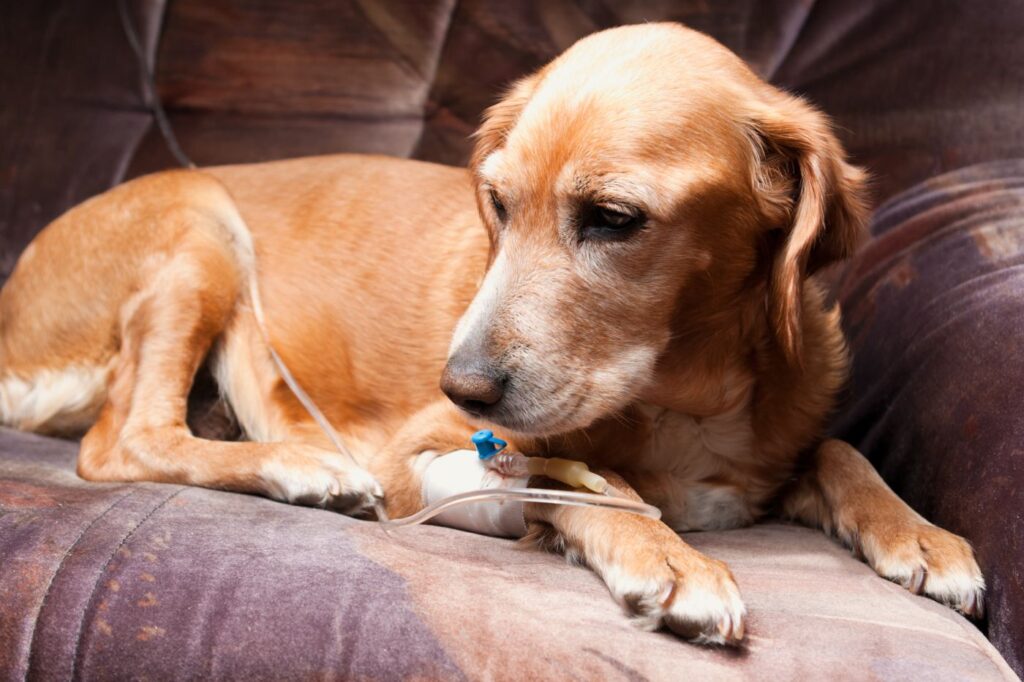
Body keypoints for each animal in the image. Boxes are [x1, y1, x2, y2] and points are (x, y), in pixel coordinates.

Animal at [0, 25, 983, 643]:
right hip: (201, 224)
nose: (460, 386)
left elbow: (840, 451)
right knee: (123, 440)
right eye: (498, 206)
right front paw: (669, 553)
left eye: (614, 219)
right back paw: (303, 470)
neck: (685, 395)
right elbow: (598, 483)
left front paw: (920, 534)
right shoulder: (420, 456)